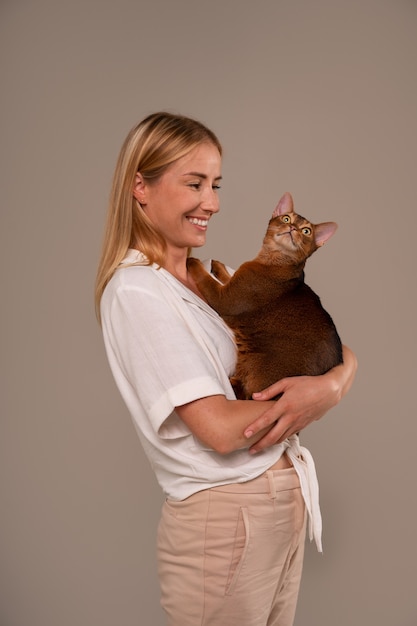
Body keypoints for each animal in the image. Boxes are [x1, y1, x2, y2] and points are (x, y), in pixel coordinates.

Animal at [187, 188, 342, 400]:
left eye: (306, 231)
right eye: (286, 218)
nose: (292, 227)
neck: (269, 259)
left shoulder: (224, 299)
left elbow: (204, 278)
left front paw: (192, 261)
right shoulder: (237, 281)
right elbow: (229, 275)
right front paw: (218, 267)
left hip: (257, 374)